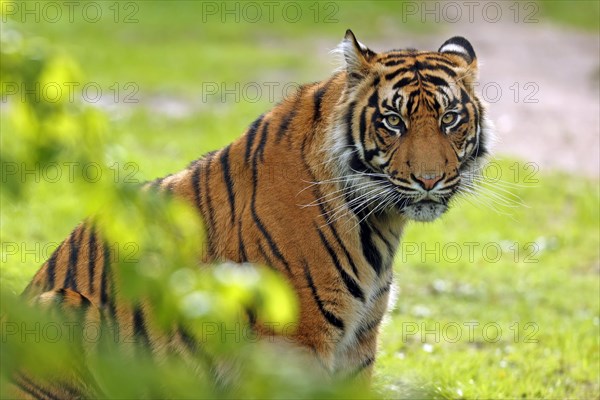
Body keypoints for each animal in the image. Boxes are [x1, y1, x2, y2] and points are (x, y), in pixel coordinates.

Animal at [7, 29, 490, 398]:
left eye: (449, 118)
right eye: (393, 121)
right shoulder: (295, 341)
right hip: (60, 307)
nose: (429, 179)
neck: (380, 222)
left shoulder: (359, 342)